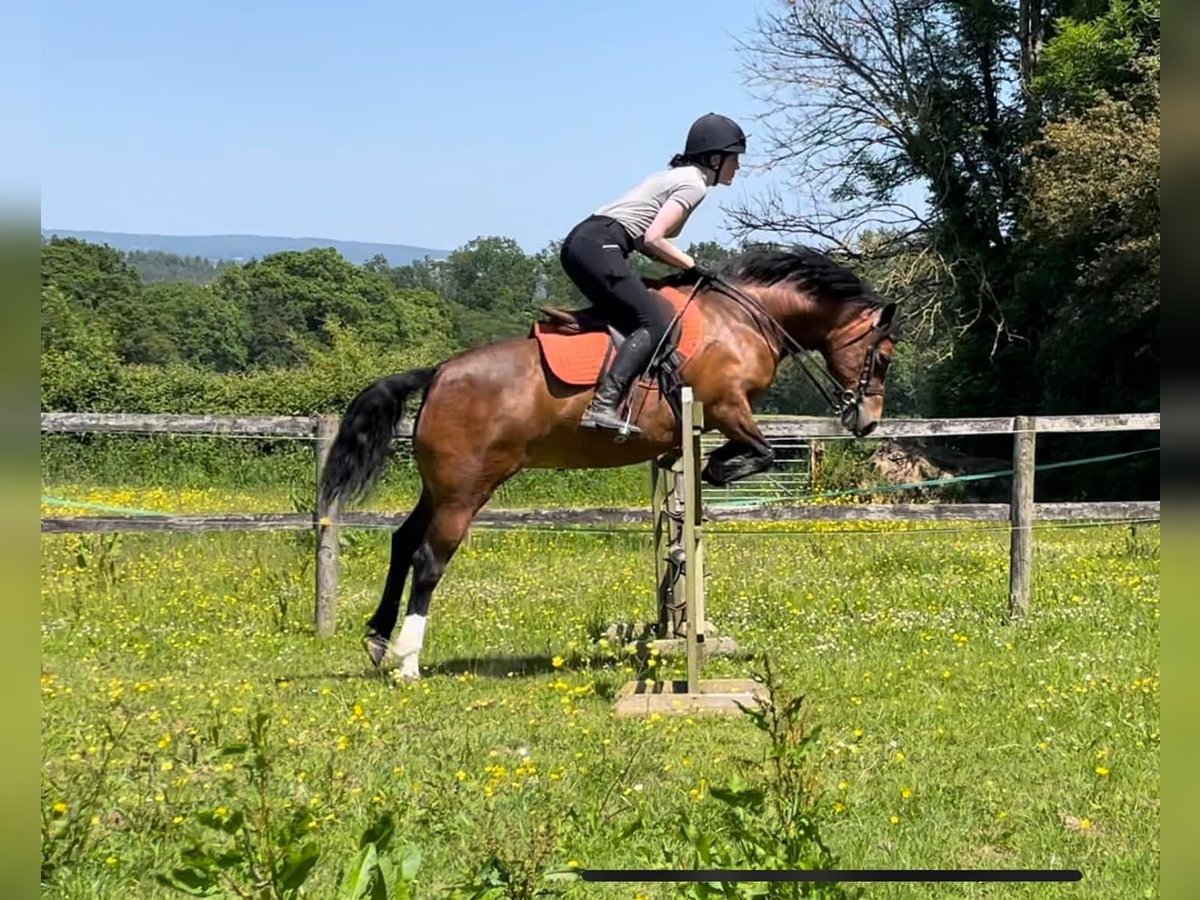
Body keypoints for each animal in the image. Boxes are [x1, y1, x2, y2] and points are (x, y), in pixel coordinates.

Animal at [319, 243, 902, 681]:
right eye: (883, 356)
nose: (867, 421)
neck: (742, 319)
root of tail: (438, 372)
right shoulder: (727, 406)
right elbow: (758, 452)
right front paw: (715, 471)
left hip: (439, 486)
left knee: (402, 542)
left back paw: (377, 640)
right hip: (466, 489)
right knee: (428, 560)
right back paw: (408, 662)